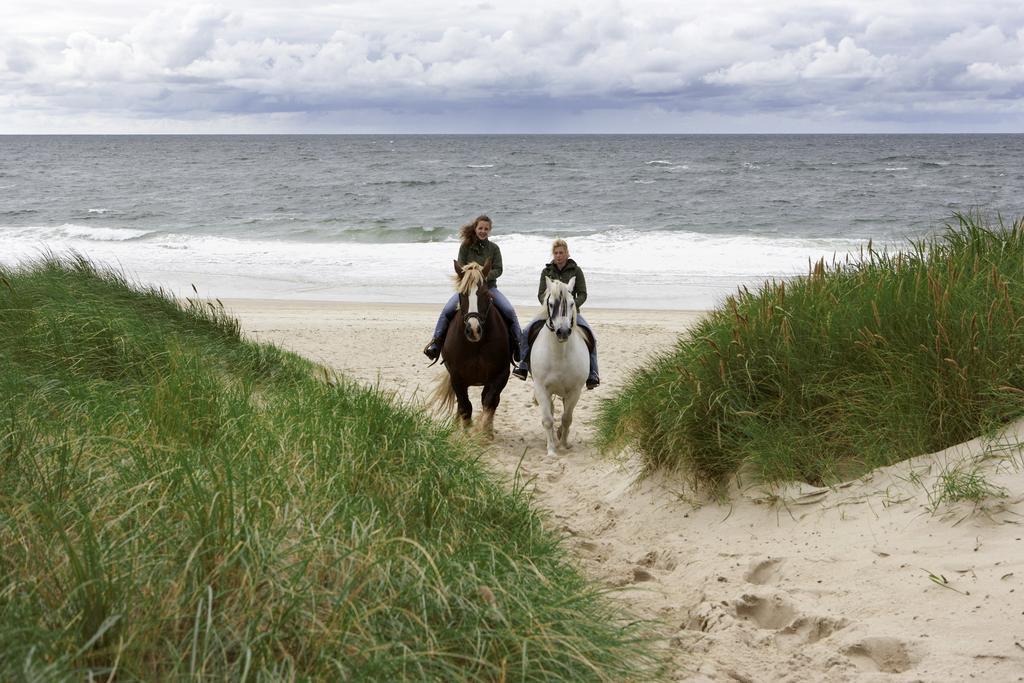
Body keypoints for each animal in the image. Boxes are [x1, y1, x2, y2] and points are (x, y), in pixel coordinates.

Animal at [430, 259, 512, 436]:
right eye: (461, 294)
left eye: (486, 294)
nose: (473, 329)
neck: (476, 345)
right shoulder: (456, 377)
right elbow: (465, 406)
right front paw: (466, 435)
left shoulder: (501, 375)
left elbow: (489, 402)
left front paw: (484, 432)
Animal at [528, 278, 593, 458]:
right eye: (550, 304)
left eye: (572, 303)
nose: (563, 332)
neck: (559, 354)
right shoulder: (541, 388)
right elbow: (547, 419)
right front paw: (551, 450)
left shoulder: (575, 391)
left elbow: (566, 418)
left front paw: (563, 444)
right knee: (550, 411)